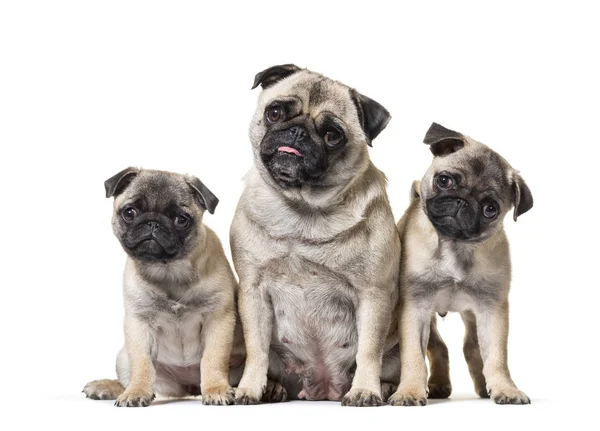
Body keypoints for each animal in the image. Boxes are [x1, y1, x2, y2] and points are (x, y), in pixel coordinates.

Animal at [82, 169, 244, 408]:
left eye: (181, 220)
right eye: (129, 212)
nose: (153, 223)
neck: (169, 271)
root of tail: (190, 385)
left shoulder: (218, 319)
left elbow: (213, 359)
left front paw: (216, 389)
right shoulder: (139, 324)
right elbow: (142, 363)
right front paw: (136, 392)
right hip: (123, 358)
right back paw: (108, 387)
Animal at [230, 64, 404, 408]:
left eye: (332, 135)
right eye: (275, 112)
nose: (298, 132)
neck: (302, 208)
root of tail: (323, 388)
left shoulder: (373, 294)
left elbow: (369, 351)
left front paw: (365, 391)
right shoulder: (253, 291)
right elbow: (256, 350)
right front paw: (249, 388)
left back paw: (383, 388)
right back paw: (272, 388)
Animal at [390, 123, 536, 406]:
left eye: (490, 209)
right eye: (444, 180)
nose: (462, 201)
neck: (454, 245)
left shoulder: (491, 311)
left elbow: (497, 358)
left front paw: (505, 388)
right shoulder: (415, 308)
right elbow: (413, 355)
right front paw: (409, 391)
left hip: (472, 315)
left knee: (472, 347)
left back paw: (483, 387)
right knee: (439, 347)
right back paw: (437, 385)